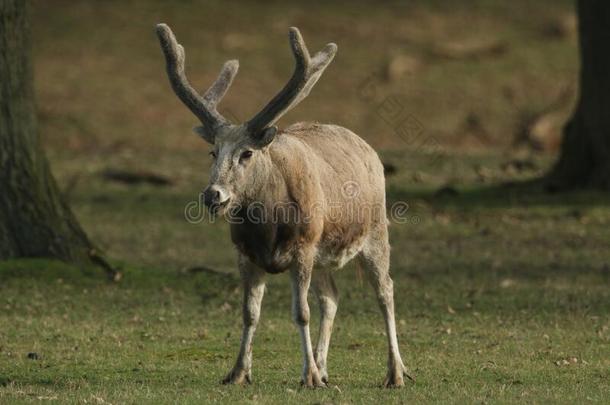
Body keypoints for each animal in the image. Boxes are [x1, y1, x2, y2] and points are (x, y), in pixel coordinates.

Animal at [154, 22, 410, 388]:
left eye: (247, 153)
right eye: (212, 152)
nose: (212, 195)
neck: (268, 227)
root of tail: (367, 147)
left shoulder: (303, 246)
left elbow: (300, 313)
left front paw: (309, 377)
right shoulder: (245, 252)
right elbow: (250, 313)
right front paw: (238, 372)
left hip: (375, 231)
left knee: (385, 290)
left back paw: (395, 372)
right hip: (323, 253)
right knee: (331, 297)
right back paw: (325, 367)